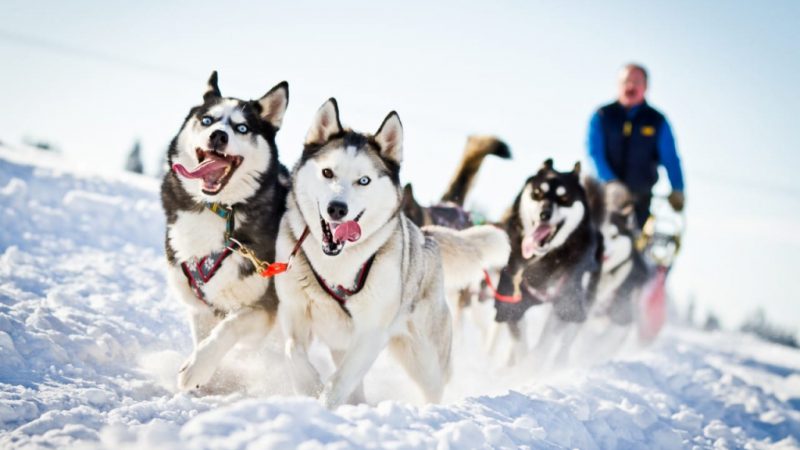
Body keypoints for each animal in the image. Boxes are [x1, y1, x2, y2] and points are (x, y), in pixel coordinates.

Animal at [161, 72, 290, 392]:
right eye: (207, 120)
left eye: (242, 128)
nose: (218, 136)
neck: (219, 209)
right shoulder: (199, 305)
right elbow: (203, 336)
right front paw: (206, 380)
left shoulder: (263, 308)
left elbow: (227, 328)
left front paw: (198, 369)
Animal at [276, 99, 510, 408]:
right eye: (327, 172)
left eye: (364, 180)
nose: (337, 208)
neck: (336, 264)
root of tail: (425, 235)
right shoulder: (294, 313)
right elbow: (293, 352)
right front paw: (310, 388)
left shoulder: (370, 333)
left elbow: (339, 381)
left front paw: (323, 404)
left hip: (425, 359)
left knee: (433, 387)